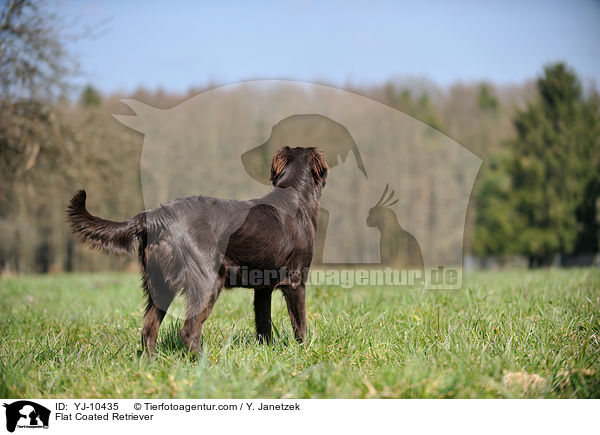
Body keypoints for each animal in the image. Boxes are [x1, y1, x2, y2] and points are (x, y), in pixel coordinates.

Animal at [68, 148, 328, 356]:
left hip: (160, 285)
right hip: (207, 281)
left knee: (148, 330)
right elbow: (300, 325)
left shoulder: (261, 288)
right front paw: (304, 353)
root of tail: (155, 216)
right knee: (188, 330)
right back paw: (207, 364)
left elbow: (263, 325)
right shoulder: (296, 281)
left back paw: (151, 364)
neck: (294, 195)